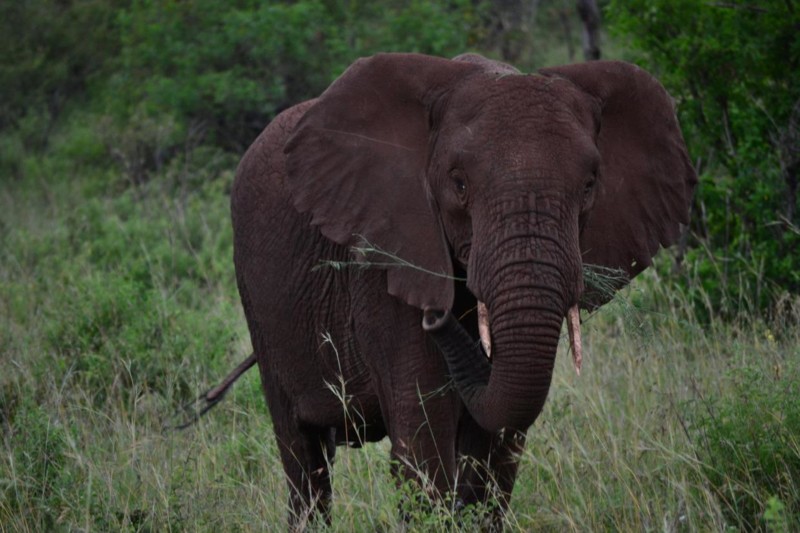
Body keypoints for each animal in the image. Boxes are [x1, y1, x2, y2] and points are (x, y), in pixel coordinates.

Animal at [229, 52, 696, 527]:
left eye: (589, 186)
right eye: (459, 184)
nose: (437, 315)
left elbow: (496, 453)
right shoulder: (383, 259)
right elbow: (423, 447)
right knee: (303, 457)